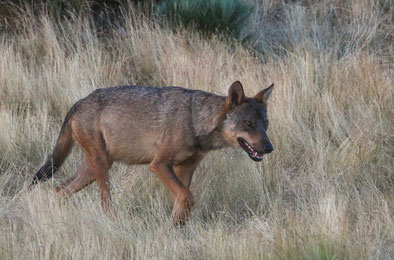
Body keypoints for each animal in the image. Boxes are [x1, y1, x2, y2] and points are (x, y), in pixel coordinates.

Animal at [31, 80, 274, 224]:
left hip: (92, 170)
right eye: (248, 123)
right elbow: (188, 197)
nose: (269, 148)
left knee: (58, 189)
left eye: (266, 124)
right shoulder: (158, 165)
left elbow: (182, 202)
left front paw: (176, 229)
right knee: (104, 203)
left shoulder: (186, 168)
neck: (195, 120)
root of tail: (79, 103)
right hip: (102, 168)